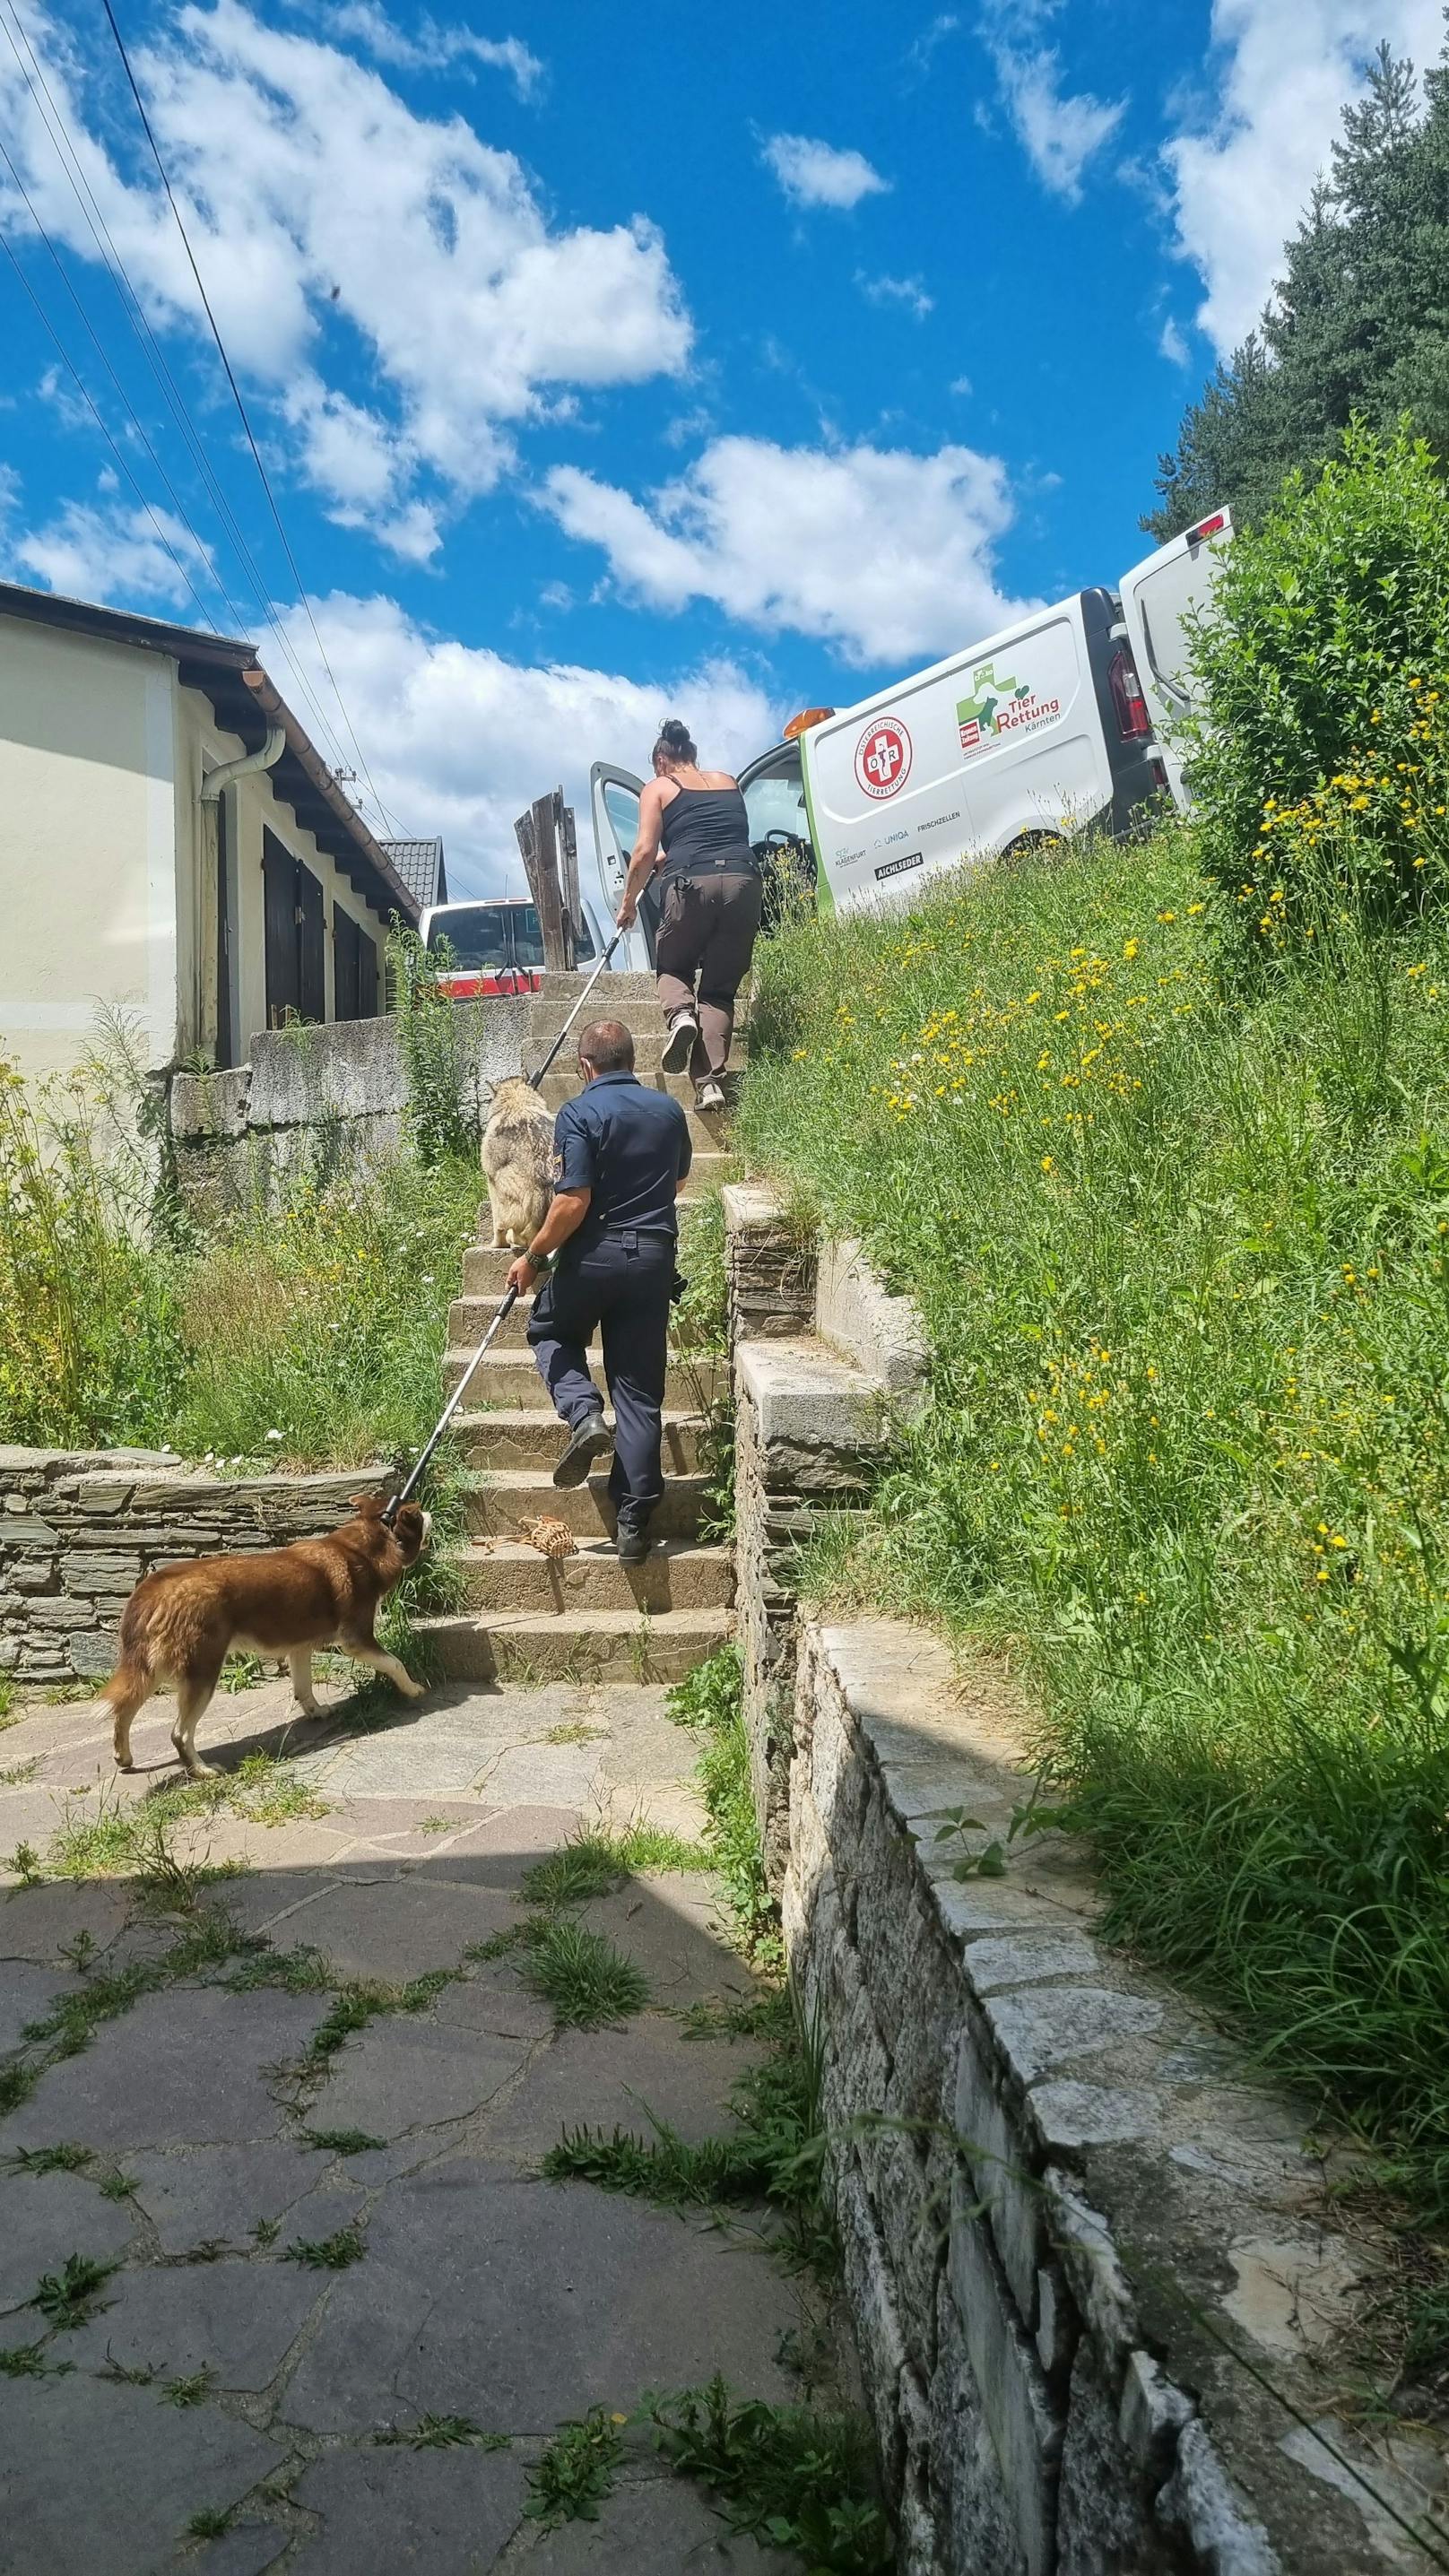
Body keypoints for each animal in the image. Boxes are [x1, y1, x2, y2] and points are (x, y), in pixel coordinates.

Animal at [100, 1504, 428, 1782]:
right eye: (417, 1511)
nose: (429, 1512)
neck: (360, 1547)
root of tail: (153, 1588)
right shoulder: (356, 1640)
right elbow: (395, 1663)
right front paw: (413, 1689)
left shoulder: (299, 1647)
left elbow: (304, 1688)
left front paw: (316, 1711)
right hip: (203, 1672)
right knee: (179, 1734)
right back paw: (202, 1770)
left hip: (148, 1669)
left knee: (123, 1710)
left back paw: (124, 1756)